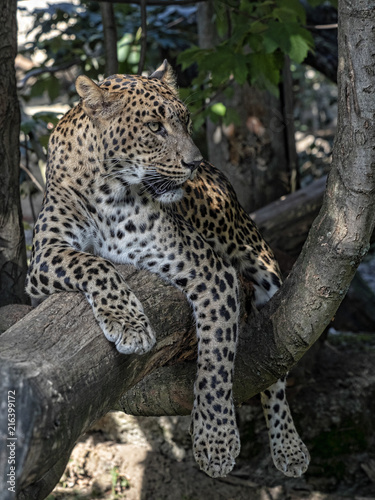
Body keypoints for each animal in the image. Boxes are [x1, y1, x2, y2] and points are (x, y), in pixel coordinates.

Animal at [26, 60, 312, 478]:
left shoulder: (211, 270)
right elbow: (95, 263)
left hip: (263, 266)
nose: (194, 163)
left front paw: (216, 439)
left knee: (276, 374)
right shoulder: (44, 257)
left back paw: (289, 446)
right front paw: (130, 324)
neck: (108, 190)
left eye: (186, 121)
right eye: (155, 127)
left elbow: (216, 357)